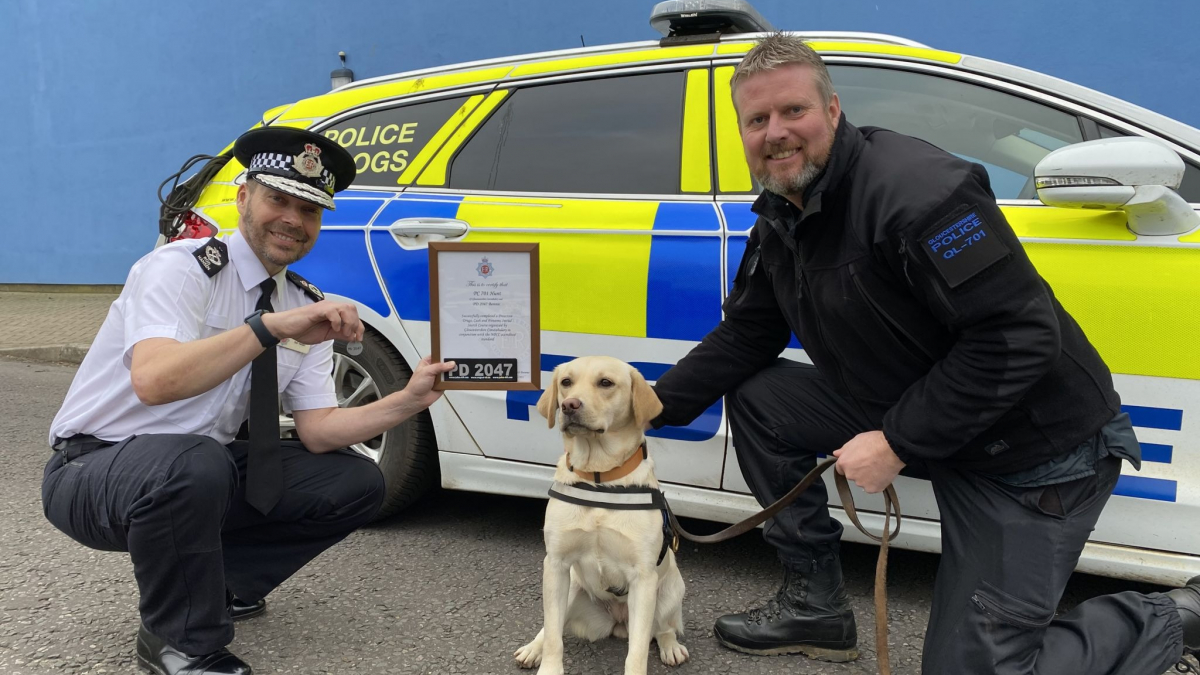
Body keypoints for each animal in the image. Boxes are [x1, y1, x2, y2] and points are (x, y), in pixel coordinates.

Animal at [511, 355, 691, 667]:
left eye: (605, 382)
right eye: (566, 382)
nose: (569, 405)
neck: (600, 477)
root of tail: (618, 622)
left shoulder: (643, 578)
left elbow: (637, 652)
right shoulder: (556, 564)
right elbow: (554, 638)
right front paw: (547, 664)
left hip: (670, 589)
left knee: (663, 628)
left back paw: (671, 646)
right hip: (571, 587)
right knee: (550, 626)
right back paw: (534, 647)